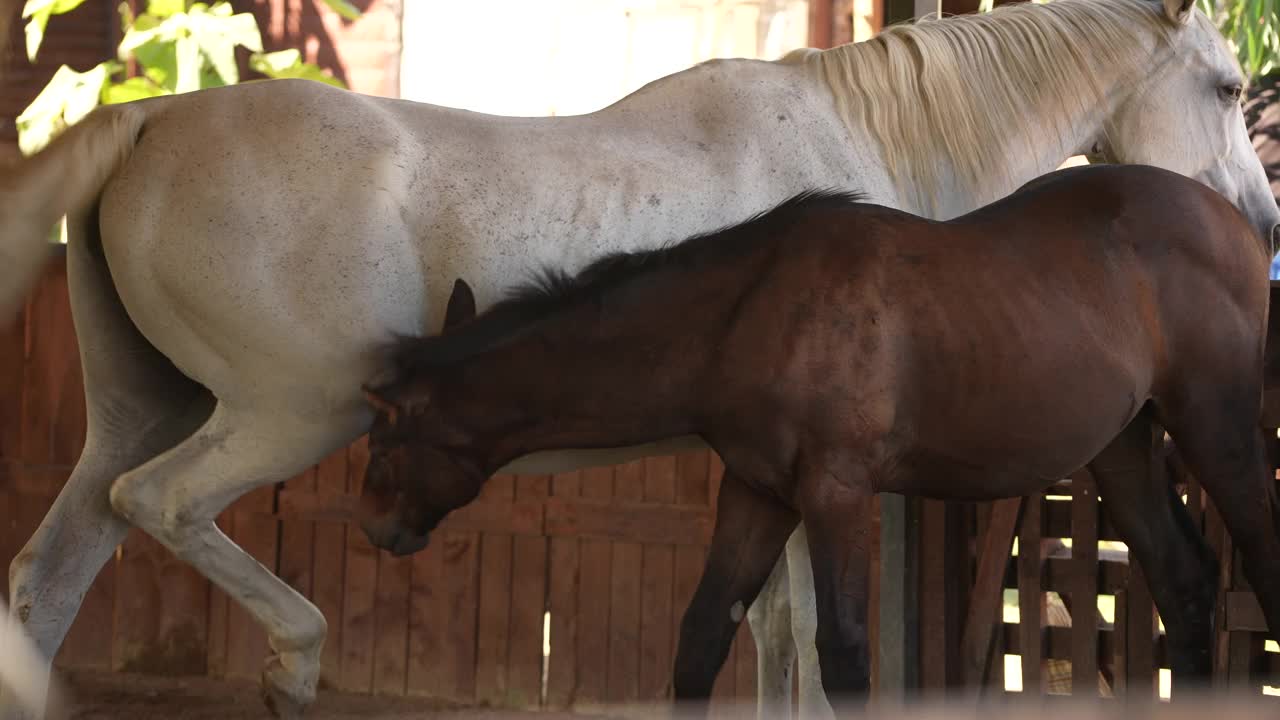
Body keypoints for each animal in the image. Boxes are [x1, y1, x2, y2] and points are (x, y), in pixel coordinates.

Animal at [355, 165, 1274, 707]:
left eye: (390, 430)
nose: (375, 527)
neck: (744, 314)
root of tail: (1233, 218)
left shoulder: (837, 495)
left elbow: (844, 653)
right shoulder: (757, 494)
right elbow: (701, 638)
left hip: (1219, 427)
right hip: (1124, 447)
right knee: (1187, 584)